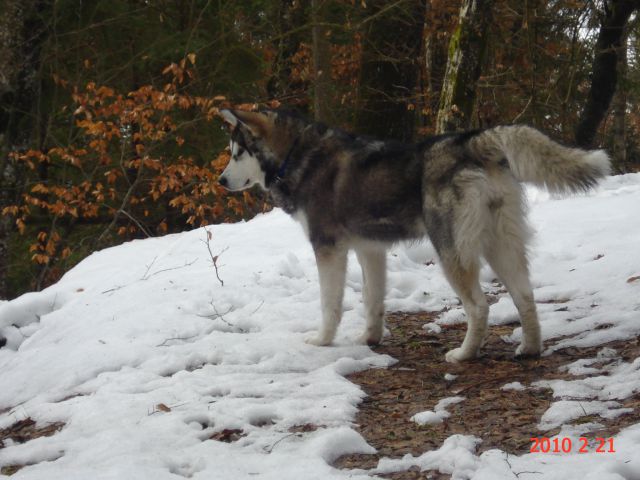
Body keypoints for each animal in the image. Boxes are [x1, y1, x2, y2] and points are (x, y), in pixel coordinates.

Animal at [216, 109, 608, 362]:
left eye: (237, 153)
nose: (220, 180)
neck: (297, 155)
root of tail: (470, 142)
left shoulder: (328, 249)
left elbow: (330, 304)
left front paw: (322, 341)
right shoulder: (370, 250)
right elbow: (373, 301)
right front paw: (370, 339)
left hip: (451, 252)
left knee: (479, 306)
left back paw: (464, 354)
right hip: (501, 247)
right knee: (525, 297)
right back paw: (530, 349)